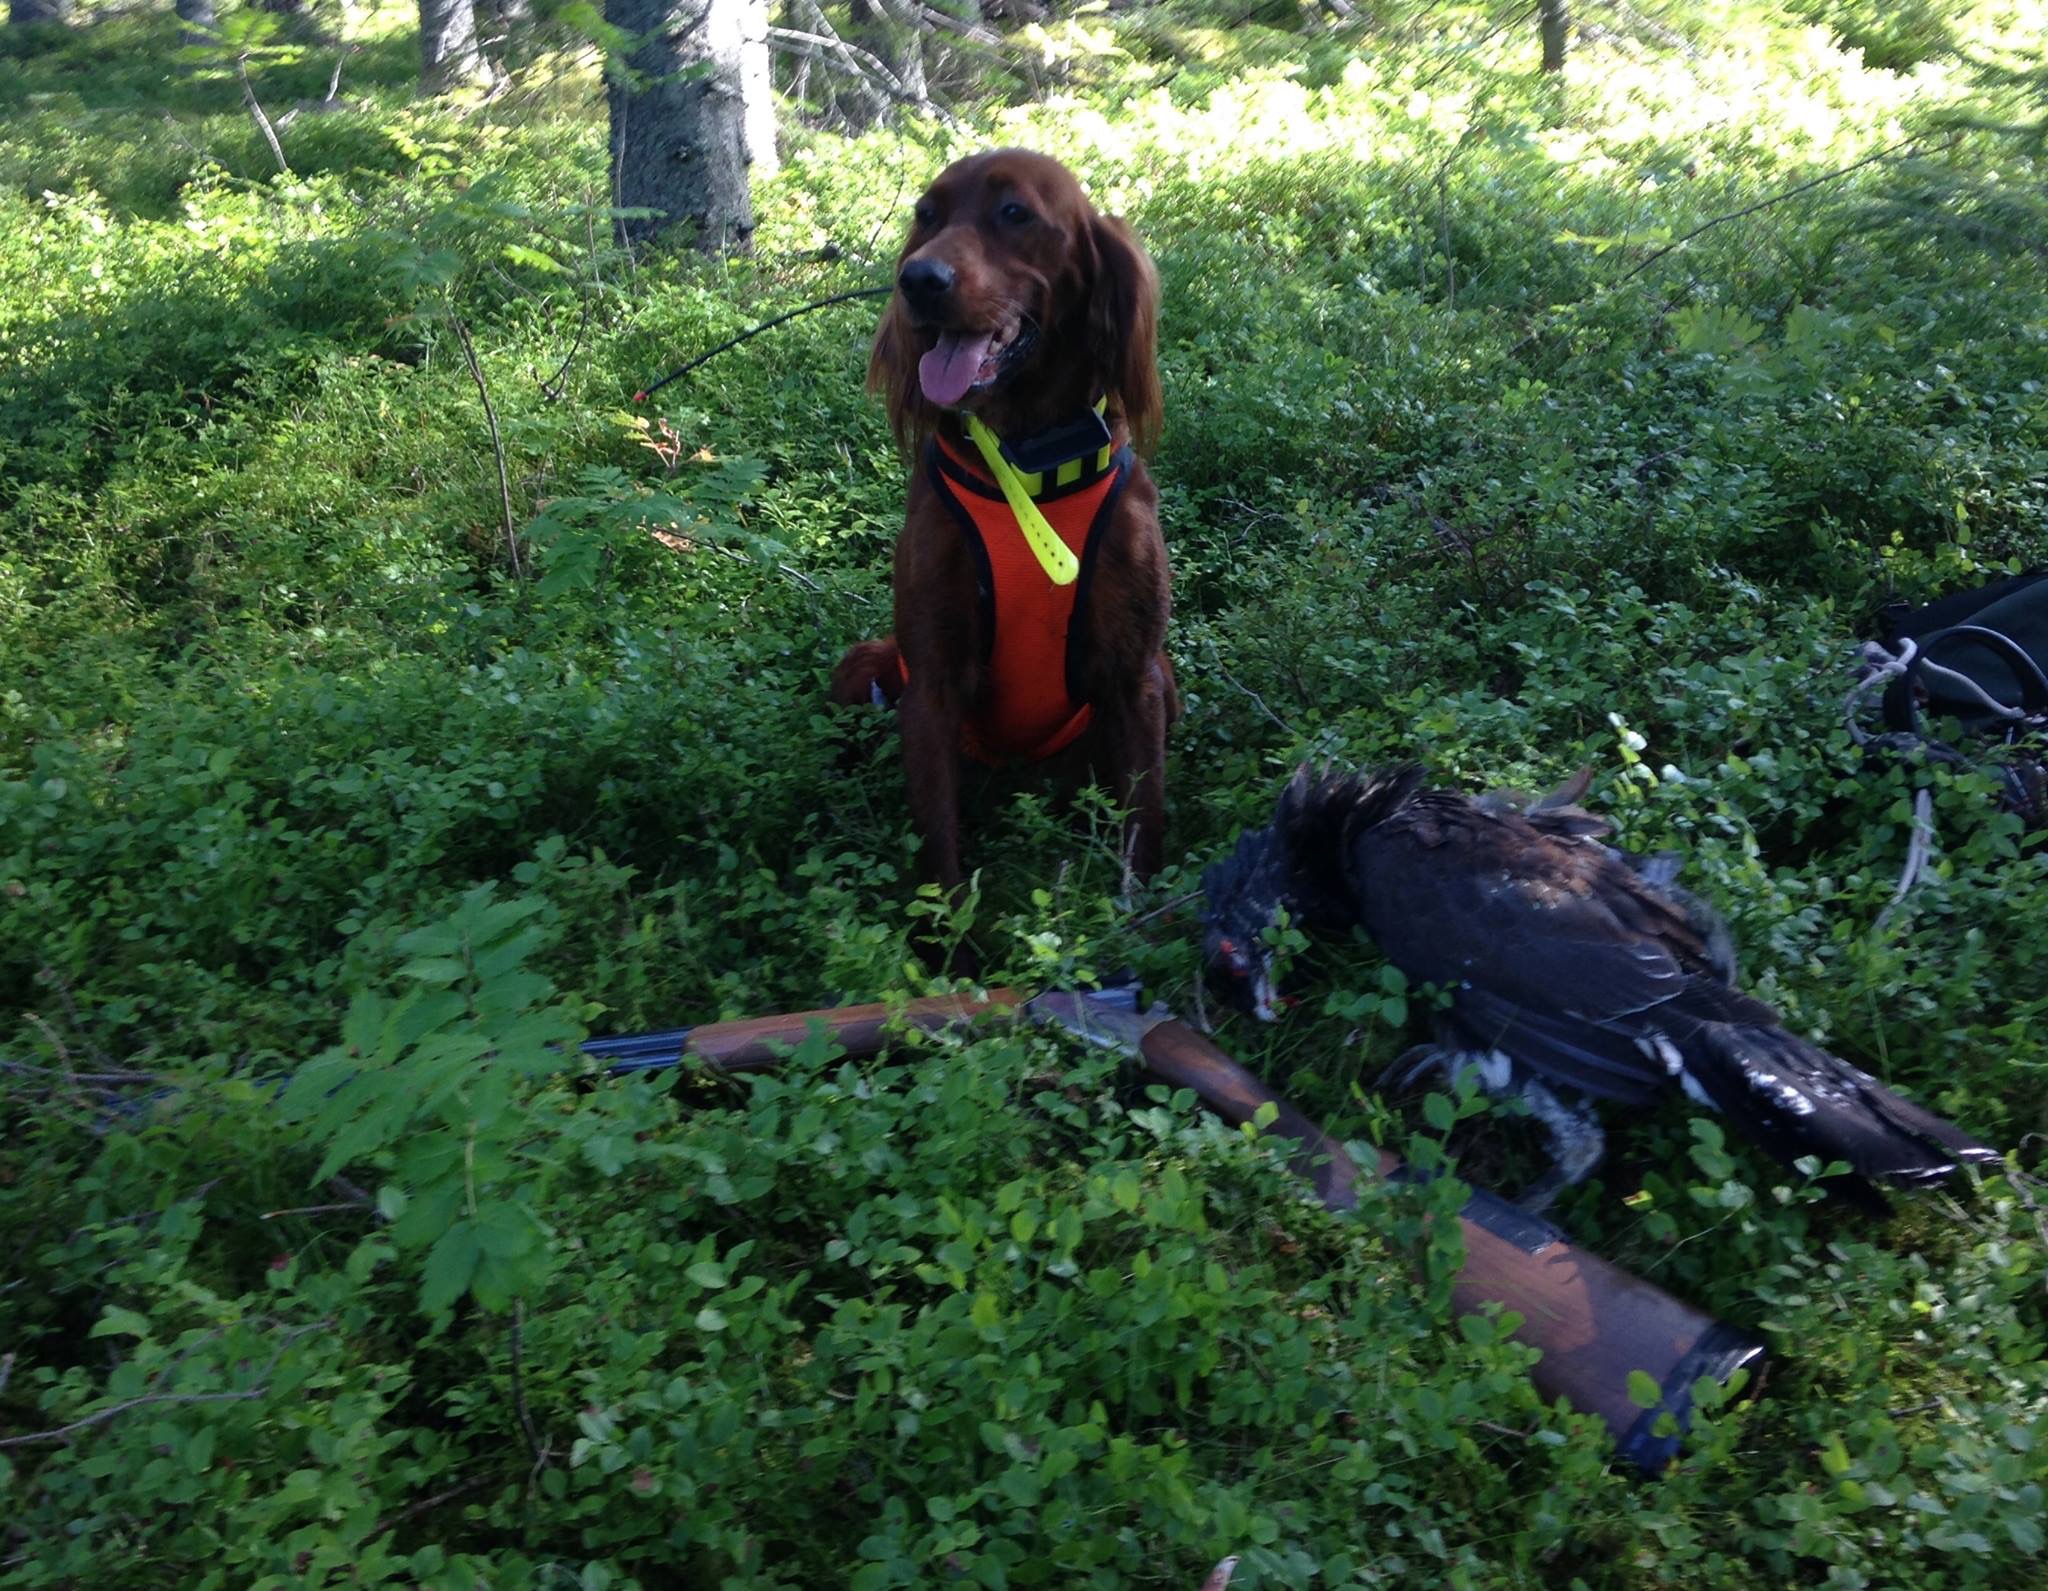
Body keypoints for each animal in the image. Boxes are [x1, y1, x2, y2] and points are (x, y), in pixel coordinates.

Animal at [831, 149, 1177, 902]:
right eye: (925, 214)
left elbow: (1144, 829)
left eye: (1015, 213)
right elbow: (941, 859)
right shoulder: (930, 684)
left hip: (1163, 681)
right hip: (862, 665)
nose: (917, 280)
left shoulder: (1134, 677)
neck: (1029, 462)